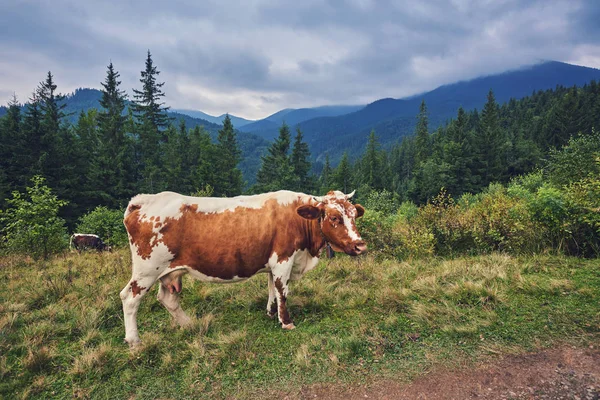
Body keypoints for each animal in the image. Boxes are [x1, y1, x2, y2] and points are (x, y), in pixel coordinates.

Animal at [119, 189, 366, 346]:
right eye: (334, 217)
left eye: (354, 214)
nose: (360, 245)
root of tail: (144, 200)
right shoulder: (283, 259)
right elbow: (282, 290)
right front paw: (286, 322)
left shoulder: (273, 262)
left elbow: (271, 288)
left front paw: (270, 312)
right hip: (147, 270)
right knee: (129, 298)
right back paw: (135, 341)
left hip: (168, 272)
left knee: (168, 299)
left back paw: (189, 325)